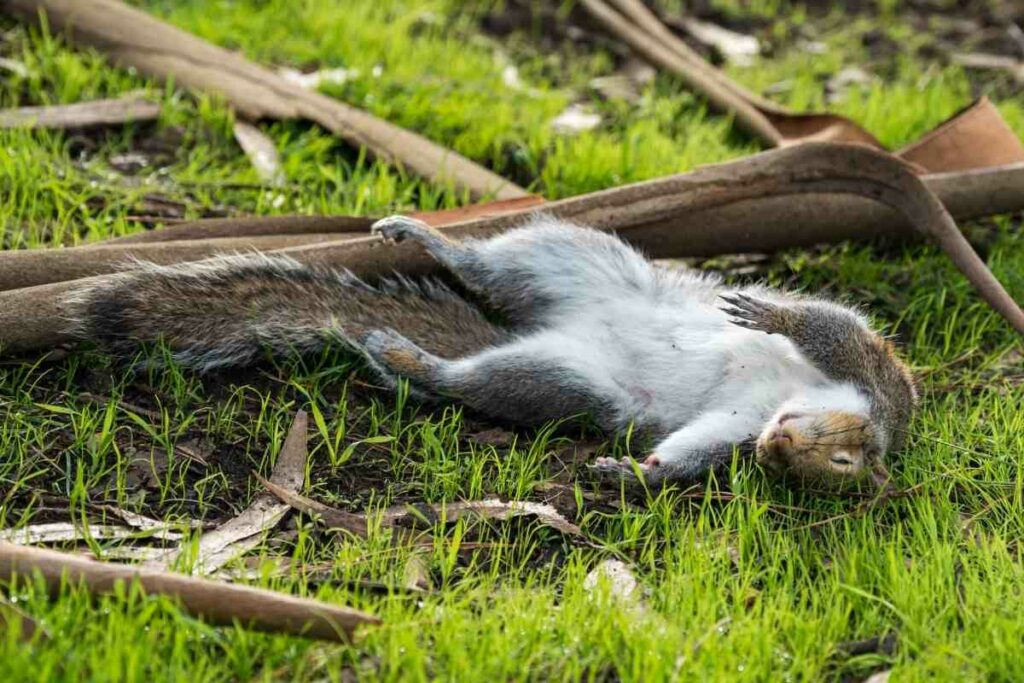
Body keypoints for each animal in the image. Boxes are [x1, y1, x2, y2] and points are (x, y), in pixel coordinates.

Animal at [64, 215, 917, 488]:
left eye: (822, 473)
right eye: (844, 456)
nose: (774, 449)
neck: (786, 404)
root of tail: (541, 333)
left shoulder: (735, 427)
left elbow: (696, 448)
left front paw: (634, 470)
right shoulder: (873, 373)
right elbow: (824, 324)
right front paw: (763, 308)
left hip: (562, 381)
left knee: (471, 380)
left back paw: (408, 358)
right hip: (574, 256)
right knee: (486, 265)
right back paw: (429, 239)